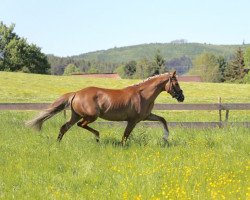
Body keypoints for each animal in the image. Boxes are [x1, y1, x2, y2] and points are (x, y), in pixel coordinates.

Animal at [26, 71, 184, 144]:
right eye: (176, 84)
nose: (182, 97)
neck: (143, 95)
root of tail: (76, 93)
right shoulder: (133, 120)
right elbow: (125, 135)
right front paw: (122, 146)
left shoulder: (146, 117)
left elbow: (162, 119)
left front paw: (165, 137)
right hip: (90, 116)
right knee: (80, 125)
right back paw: (97, 136)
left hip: (76, 115)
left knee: (65, 127)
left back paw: (58, 143)